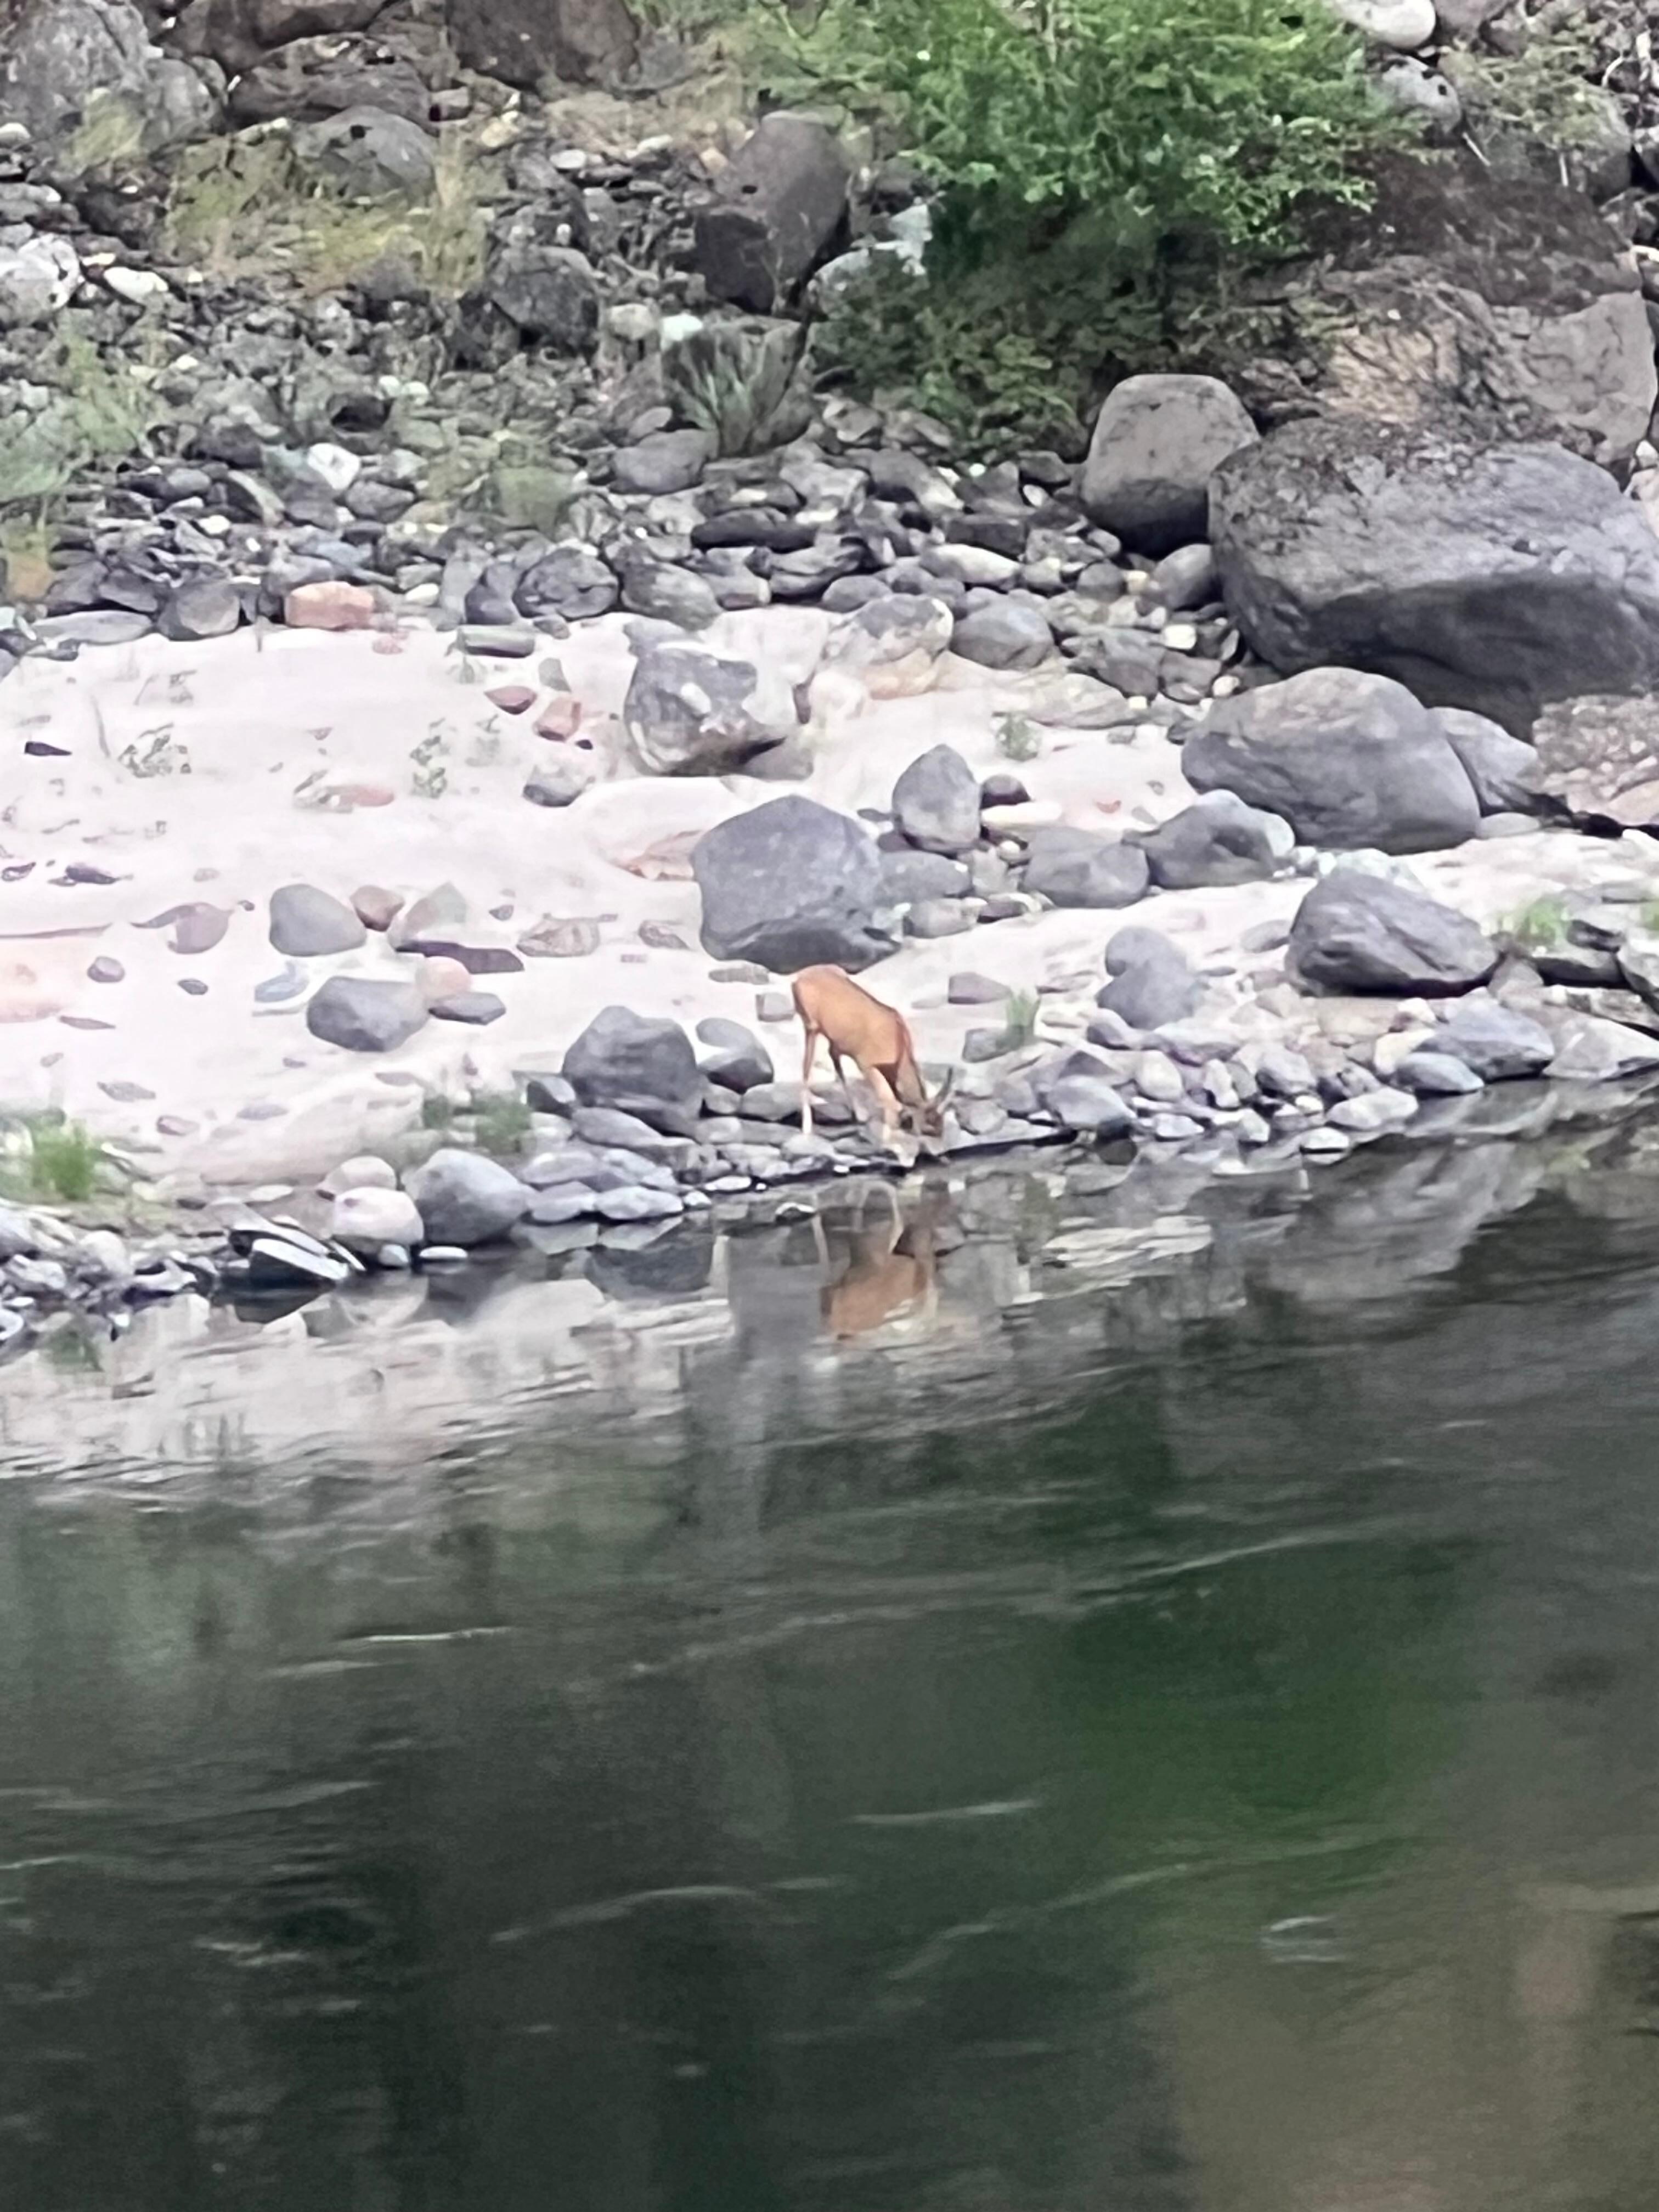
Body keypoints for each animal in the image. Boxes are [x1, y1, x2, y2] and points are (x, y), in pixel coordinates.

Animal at [791, 964, 954, 1152]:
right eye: (930, 1125)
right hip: (811, 1027)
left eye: (942, 1125)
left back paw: (857, 1113)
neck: (898, 1040)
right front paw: (888, 1143)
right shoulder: (867, 1065)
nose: (942, 1151)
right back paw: (807, 1127)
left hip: (834, 1039)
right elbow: (890, 1099)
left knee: (833, 1058)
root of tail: (800, 978)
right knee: (806, 1068)